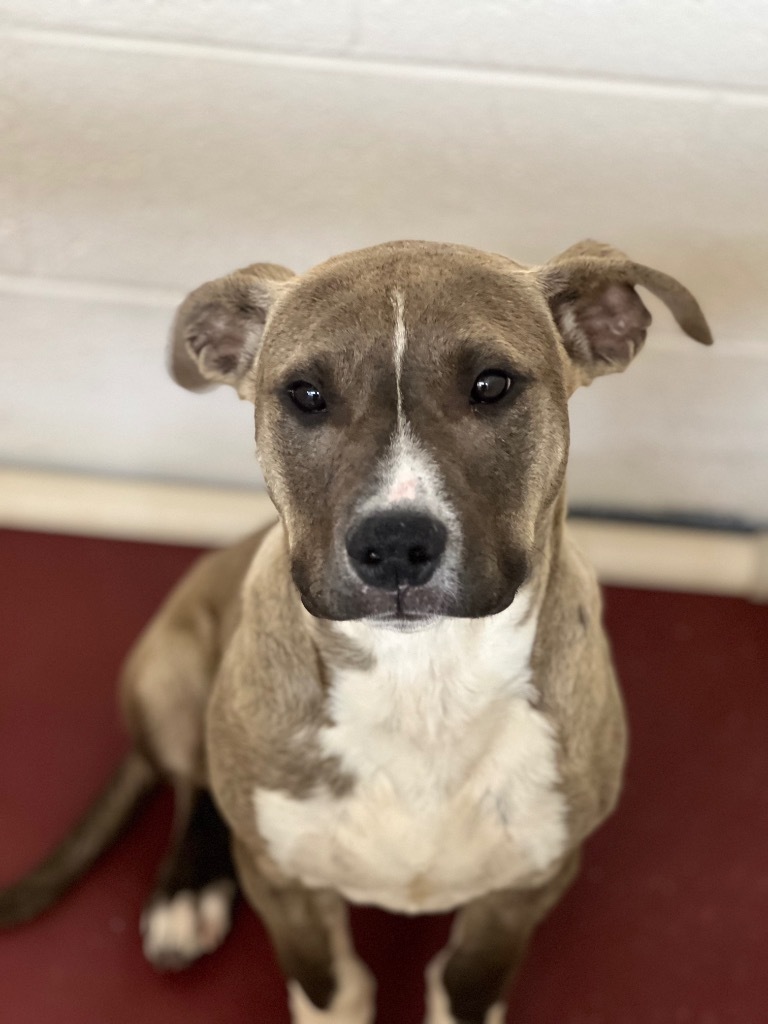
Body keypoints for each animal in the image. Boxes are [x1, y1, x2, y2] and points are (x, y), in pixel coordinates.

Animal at [0, 241, 712, 1024]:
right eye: (306, 394)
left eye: (492, 384)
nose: (395, 543)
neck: (422, 679)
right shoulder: (283, 885)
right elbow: (327, 986)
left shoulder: (528, 885)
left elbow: (468, 985)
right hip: (169, 676)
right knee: (195, 788)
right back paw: (185, 894)